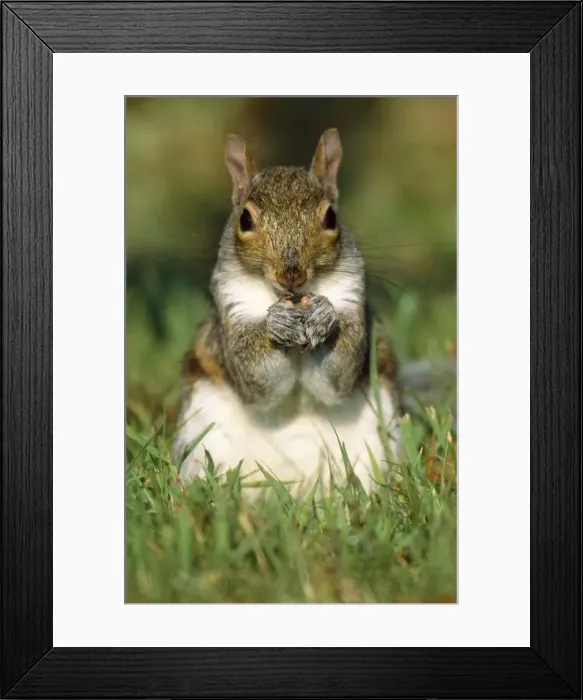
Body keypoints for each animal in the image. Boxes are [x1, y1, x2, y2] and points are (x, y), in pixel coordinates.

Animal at [173, 129, 404, 494]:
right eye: (245, 219)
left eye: (331, 217)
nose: (291, 274)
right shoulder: (231, 309)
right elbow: (256, 380)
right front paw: (276, 324)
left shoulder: (352, 298)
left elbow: (338, 376)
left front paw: (324, 317)